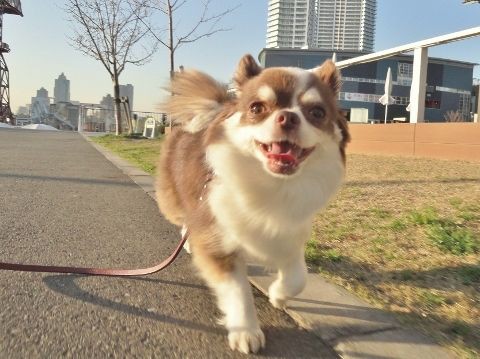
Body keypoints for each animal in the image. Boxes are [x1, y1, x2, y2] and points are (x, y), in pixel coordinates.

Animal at [158, 54, 348, 356]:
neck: (271, 185)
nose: (288, 117)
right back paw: (187, 240)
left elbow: (299, 277)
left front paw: (278, 295)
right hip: (173, 200)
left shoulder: (288, 235)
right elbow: (238, 290)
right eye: (257, 108)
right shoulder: (217, 239)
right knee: (184, 219)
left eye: (317, 113)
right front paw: (246, 330)